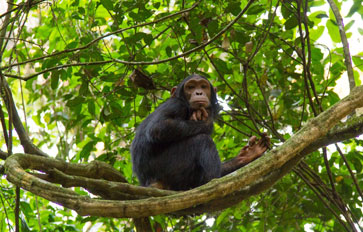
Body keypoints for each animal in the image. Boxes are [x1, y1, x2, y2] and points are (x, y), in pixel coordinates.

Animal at [132, 74, 270, 190]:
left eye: (203, 86)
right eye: (191, 87)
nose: (198, 92)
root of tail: (150, 183)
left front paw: (248, 154)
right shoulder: (175, 104)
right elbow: (157, 128)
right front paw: (206, 122)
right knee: (202, 140)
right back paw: (211, 182)